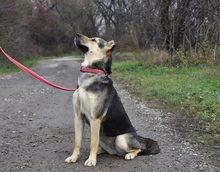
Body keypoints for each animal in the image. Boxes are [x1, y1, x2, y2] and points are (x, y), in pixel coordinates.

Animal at [64, 33, 159, 167]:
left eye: (93, 40)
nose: (77, 34)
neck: (92, 72)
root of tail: (136, 136)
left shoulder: (95, 118)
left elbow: (92, 143)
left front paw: (91, 160)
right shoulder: (78, 117)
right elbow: (77, 142)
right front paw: (73, 157)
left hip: (121, 139)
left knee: (138, 148)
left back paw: (129, 154)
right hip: (102, 136)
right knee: (104, 148)